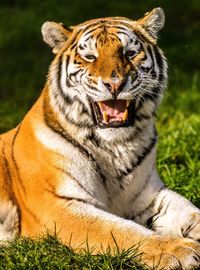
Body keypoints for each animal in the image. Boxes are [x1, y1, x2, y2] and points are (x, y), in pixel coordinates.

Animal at [0, 7, 200, 268]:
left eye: (130, 53)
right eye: (90, 57)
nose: (115, 84)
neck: (115, 146)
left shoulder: (149, 196)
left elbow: (190, 211)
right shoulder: (58, 207)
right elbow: (122, 231)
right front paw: (181, 251)